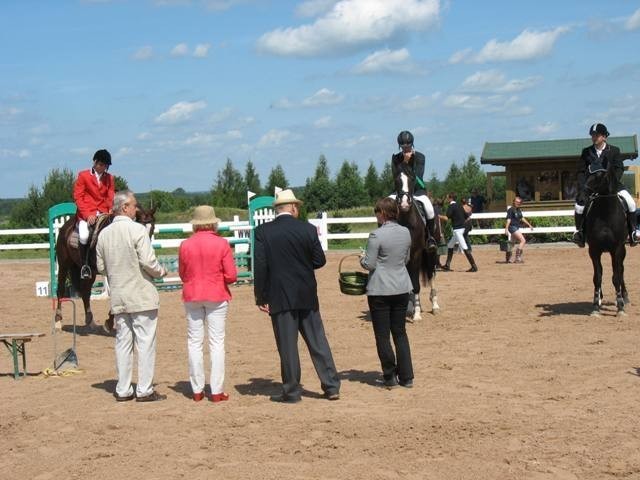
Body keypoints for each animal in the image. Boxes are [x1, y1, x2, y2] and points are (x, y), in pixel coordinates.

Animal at [53, 204, 156, 332]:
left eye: (152, 229)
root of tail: (65, 227)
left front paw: (110, 321)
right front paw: (110, 321)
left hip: (89, 272)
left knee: (85, 292)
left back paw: (90, 322)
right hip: (64, 265)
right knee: (61, 290)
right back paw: (58, 321)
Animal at [392, 165, 442, 318]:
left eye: (412, 179)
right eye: (396, 180)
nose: (404, 204)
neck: (407, 221)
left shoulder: (416, 254)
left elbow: (416, 285)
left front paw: (417, 313)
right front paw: (409, 308)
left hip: (431, 253)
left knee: (431, 274)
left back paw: (435, 306)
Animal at [584, 163, 628, 316]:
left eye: (600, 176)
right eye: (587, 173)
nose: (582, 195)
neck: (606, 213)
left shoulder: (617, 249)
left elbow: (616, 276)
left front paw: (620, 306)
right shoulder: (594, 250)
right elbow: (597, 277)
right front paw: (595, 306)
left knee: (621, 270)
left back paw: (624, 297)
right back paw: (599, 299)